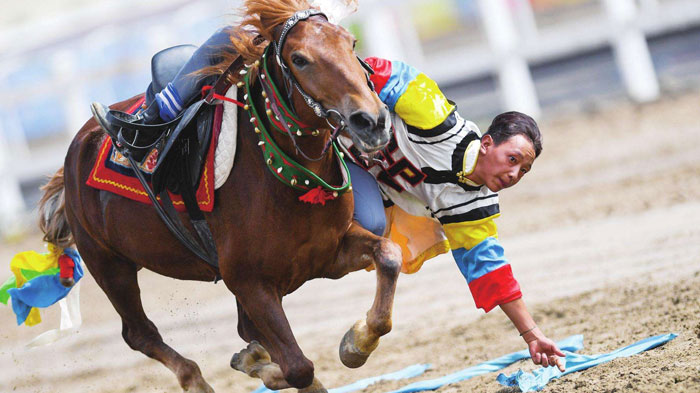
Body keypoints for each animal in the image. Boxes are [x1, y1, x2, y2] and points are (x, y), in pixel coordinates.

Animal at [38, 1, 400, 390]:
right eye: (299, 59)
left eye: (351, 41)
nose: (372, 121)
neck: (284, 176)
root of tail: (78, 146)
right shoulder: (250, 282)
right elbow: (298, 368)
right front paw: (267, 365)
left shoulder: (327, 255)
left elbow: (389, 256)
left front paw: (356, 342)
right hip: (108, 264)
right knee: (139, 333)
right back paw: (196, 378)